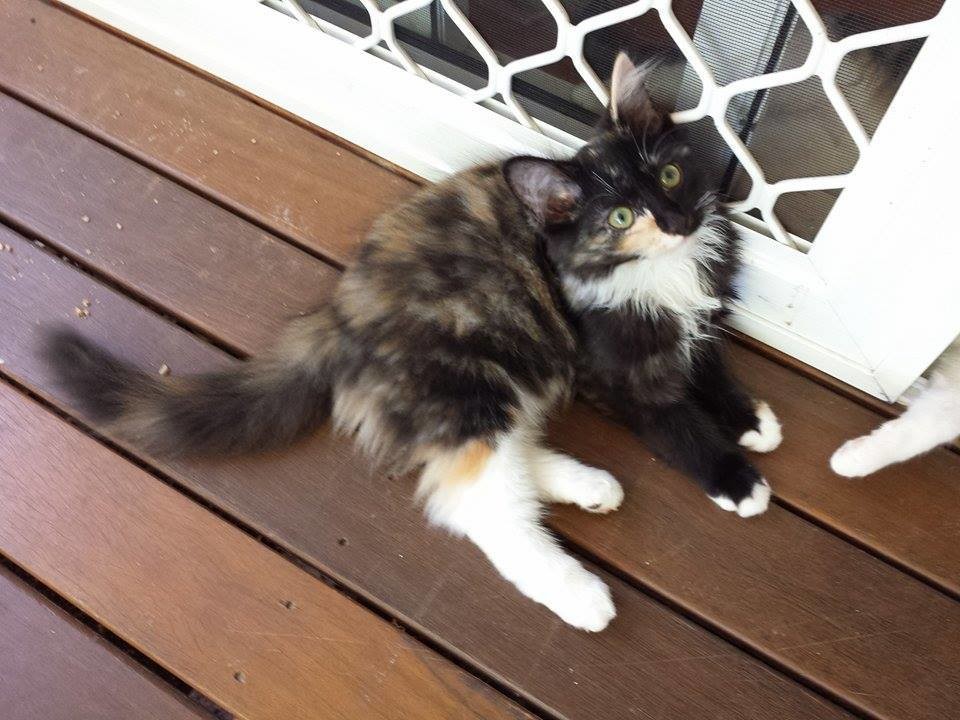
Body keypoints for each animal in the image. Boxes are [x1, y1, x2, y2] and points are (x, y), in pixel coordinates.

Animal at [43, 52, 779, 631]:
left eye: (671, 177)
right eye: (622, 217)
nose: (677, 221)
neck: (660, 273)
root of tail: (339, 318)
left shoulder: (696, 317)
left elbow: (711, 370)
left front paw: (751, 420)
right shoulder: (621, 372)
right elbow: (679, 423)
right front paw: (737, 479)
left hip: (505, 373)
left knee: (499, 453)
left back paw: (588, 485)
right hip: (468, 375)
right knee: (474, 498)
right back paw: (579, 593)